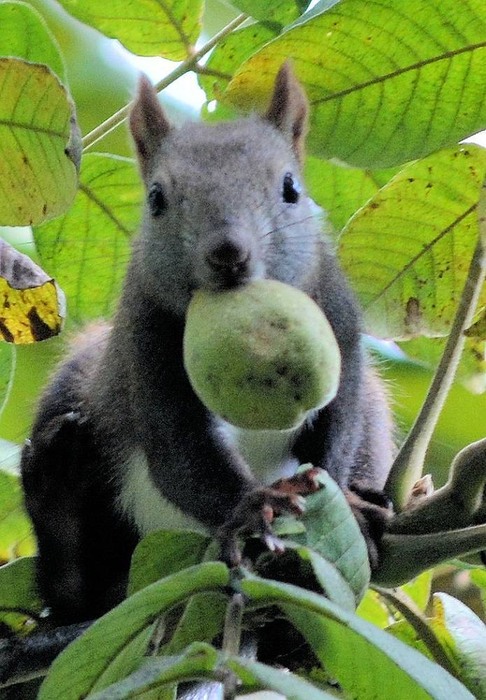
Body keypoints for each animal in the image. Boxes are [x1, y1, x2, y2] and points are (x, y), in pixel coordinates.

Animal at [19, 64, 394, 624]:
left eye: (291, 188)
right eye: (155, 199)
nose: (228, 253)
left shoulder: (342, 329)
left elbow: (339, 424)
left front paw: (344, 500)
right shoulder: (145, 344)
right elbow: (178, 453)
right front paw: (251, 507)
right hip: (78, 388)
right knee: (72, 588)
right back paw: (56, 486)